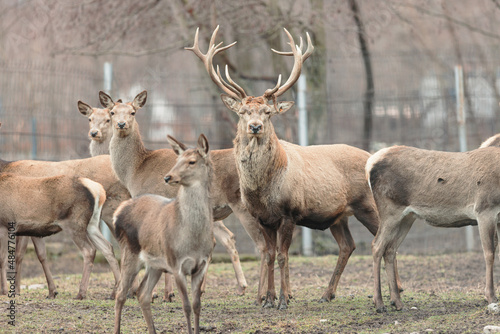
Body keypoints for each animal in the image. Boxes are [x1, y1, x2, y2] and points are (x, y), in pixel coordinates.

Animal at [0, 170, 106, 300]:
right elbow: (39, 255)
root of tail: (99, 190)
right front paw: (52, 291)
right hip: (92, 224)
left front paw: (5, 291)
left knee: (89, 250)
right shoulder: (33, 231)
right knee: (107, 247)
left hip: (74, 224)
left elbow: (3, 259)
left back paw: (81, 293)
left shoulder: (4, 225)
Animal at [98, 90, 270, 302]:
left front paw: (160, 294)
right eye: (112, 112)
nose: (121, 124)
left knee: (262, 245)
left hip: (242, 204)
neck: (135, 170)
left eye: (132, 112)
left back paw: (261, 295)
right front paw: (167, 293)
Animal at [112, 134, 214, 334]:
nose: (168, 177)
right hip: (129, 252)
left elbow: (197, 305)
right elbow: (186, 306)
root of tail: (118, 212)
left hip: (155, 265)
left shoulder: (201, 265)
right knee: (121, 294)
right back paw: (117, 329)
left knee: (142, 293)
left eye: (191, 161)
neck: (193, 240)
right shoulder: (176, 265)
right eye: (177, 160)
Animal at [187, 26, 398, 310]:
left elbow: (283, 255)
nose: (255, 126)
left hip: (369, 205)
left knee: (386, 242)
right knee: (348, 246)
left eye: (268, 111)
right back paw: (327, 294)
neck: (263, 189)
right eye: (243, 111)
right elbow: (269, 255)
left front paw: (283, 300)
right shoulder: (262, 217)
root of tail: (371, 158)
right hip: (338, 216)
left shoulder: (289, 212)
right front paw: (268, 299)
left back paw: (395, 293)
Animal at [368, 146, 500, 314]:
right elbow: (489, 253)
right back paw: (379, 303)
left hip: (407, 217)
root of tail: (369, 163)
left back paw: (397, 302)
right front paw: (491, 296)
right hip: (390, 210)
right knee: (377, 246)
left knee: (390, 249)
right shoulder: (485, 210)